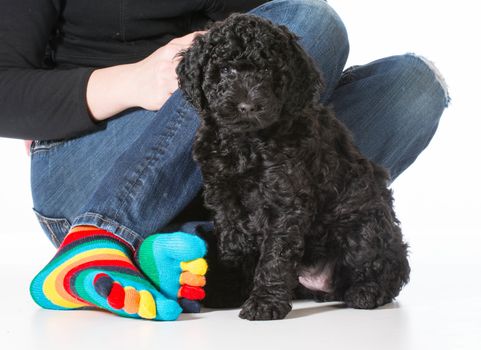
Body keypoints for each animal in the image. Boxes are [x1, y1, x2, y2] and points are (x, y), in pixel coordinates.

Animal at [176, 13, 408, 320]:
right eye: (225, 70)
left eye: (268, 71)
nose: (247, 106)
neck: (246, 142)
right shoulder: (224, 197)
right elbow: (232, 243)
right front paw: (229, 290)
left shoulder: (286, 200)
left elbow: (275, 256)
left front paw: (264, 302)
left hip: (366, 225)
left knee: (387, 268)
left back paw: (367, 292)